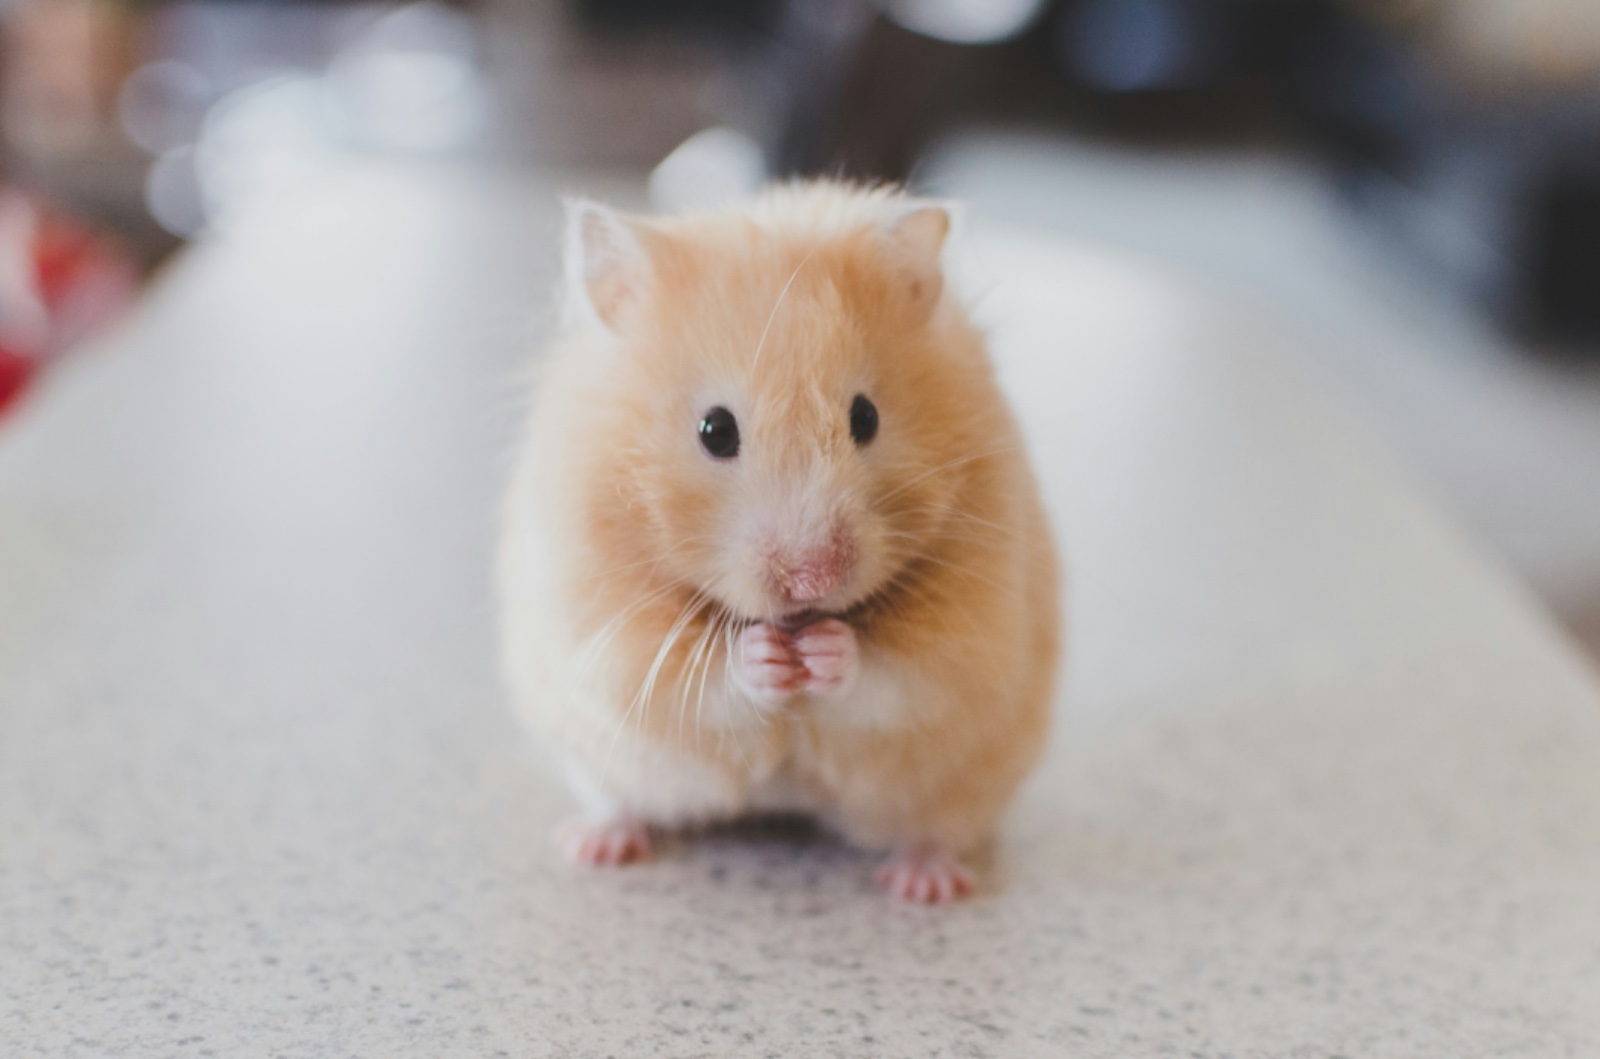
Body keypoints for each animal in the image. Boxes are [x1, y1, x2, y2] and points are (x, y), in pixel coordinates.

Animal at [498, 181, 1061, 903]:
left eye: (865, 417)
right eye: (715, 430)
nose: (813, 580)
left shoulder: (972, 635)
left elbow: (898, 676)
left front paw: (825, 651)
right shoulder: (605, 632)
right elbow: (699, 678)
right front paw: (766, 656)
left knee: (934, 829)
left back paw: (925, 884)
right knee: (619, 801)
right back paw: (594, 845)